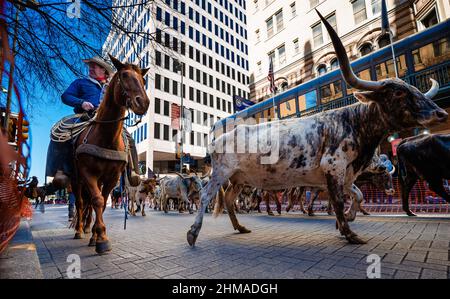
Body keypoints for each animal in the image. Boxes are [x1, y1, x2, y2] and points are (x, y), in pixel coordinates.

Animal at [71, 55, 149, 254]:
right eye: (124, 75)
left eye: (143, 80)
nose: (143, 103)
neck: (106, 137)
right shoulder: (87, 173)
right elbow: (98, 201)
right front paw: (102, 239)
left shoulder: (112, 177)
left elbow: (102, 200)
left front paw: (96, 236)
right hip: (76, 180)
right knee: (81, 203)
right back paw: (79, 230)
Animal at [185, 10, 446, 247]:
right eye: (399, 93)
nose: (440, 113)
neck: (354, 123)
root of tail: (220, 137)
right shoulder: (333, 167)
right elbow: (339, 201)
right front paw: (349, 233)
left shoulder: (346, 175)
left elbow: (357, 196)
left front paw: (346, 221)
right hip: (222, 172)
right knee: (206, 196)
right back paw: (193, 233)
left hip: (239, 178)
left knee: (229, 200)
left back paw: (240, 227)